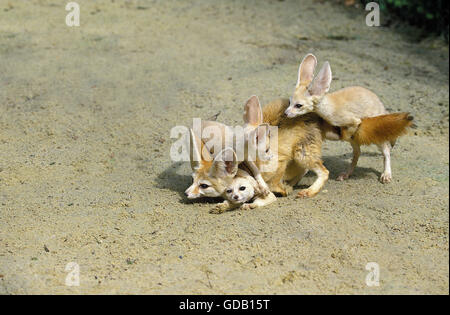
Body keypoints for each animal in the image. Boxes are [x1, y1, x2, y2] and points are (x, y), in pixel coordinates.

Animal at [286, 53, 414, 183]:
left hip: (377, 136)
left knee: (386, 151)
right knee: (357, 154)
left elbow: (349, 131)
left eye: (298, 105)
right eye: (290, 102)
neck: (328, 106)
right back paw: (346, 174)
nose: (286, 113)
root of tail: (382, 108)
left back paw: (386, 174)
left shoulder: (352, 120)